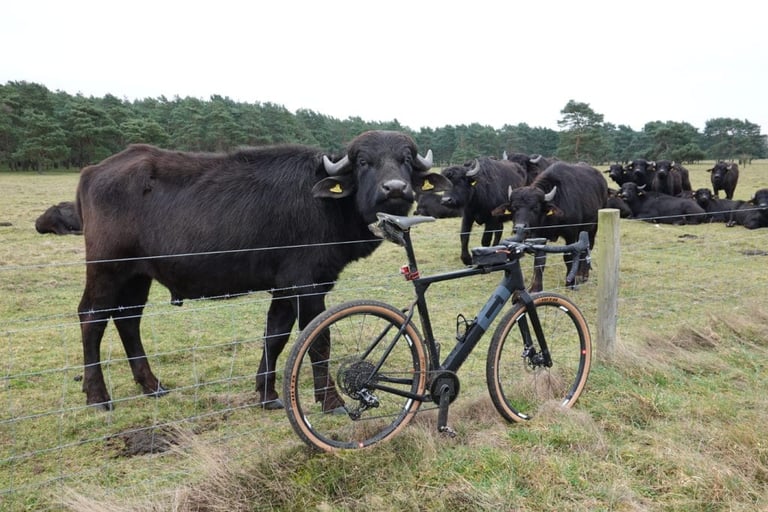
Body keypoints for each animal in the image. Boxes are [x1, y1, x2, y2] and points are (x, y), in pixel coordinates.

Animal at [75, 130, 451, 411]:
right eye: (363, 162)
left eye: (405, 159)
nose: (395, 189)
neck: (326, 205)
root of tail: (92, 172)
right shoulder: (307, 286)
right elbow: (319, 341)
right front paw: (330, 401)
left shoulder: (284, 288)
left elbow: (276, 335)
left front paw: (267, 394)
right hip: (107, 270)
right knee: (92, 318)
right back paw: (98, 396)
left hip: (136, 276)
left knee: (128, 320)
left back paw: (151, 385)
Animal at [492, 162, 608, 292]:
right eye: (513, 208)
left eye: (535, 207)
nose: (520, 228)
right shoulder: (539, 235)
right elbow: (540, 260)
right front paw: (536, 288)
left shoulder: (571, 234)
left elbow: (568, 257)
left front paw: (570, 283)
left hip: (593, 226)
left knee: (588, 247)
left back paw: (582, 275)